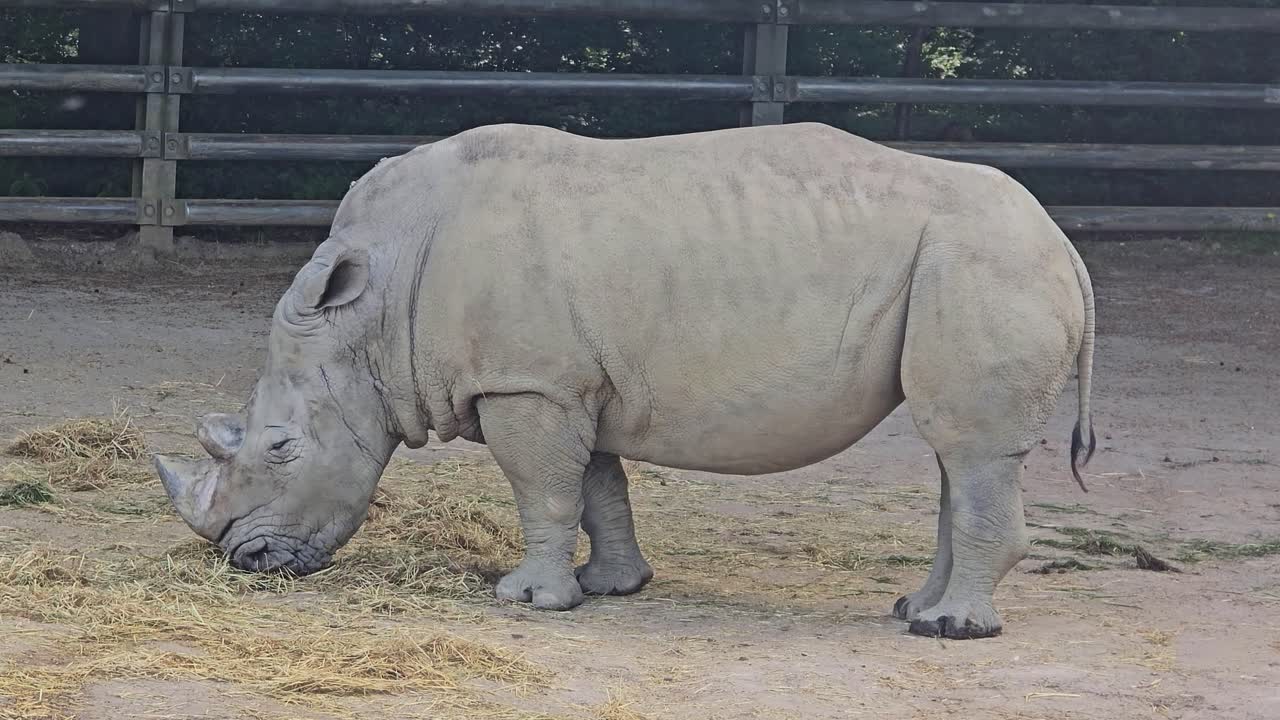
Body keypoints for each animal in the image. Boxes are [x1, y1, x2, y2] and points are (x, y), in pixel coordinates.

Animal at [154, 122, 1097, 640]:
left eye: (282, 448)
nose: (242, 559)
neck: (372, 315)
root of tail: (1064, 242)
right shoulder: (568, 380)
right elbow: (597, 488)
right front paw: (612, 586)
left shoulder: (526, 382)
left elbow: (542, 491)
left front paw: (530, 601)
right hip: (969, 265)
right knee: (955, 454)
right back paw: (913, 609)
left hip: (983, 263)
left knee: (968, 447)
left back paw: (948, 630)